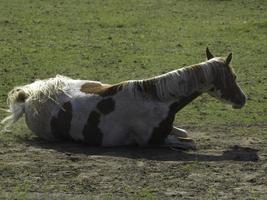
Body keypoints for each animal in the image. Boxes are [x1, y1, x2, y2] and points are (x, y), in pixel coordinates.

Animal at [0, 48, 247, 150]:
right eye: (233, 77)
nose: (243, 100)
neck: (156, 99)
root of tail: (30, 96)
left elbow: (185, 133)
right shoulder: (152, 141)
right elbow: (191, 143)